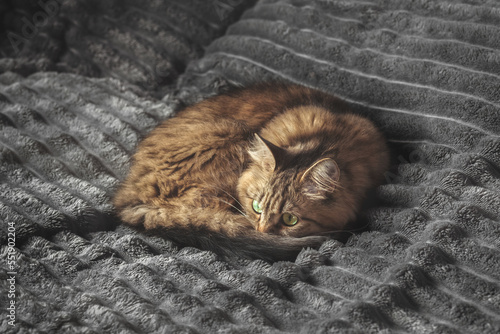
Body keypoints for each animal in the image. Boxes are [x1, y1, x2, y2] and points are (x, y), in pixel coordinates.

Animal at [113, 82, 390, 260]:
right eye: (256, 207)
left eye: (290, 220)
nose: (262, 232)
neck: (330, 140)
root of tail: (128, 197)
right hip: (232, 136)